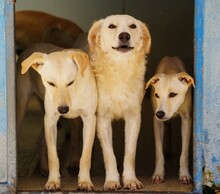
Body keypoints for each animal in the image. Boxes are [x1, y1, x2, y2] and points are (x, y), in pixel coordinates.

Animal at [19, 43, 97, 190]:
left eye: (71, 82)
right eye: (50, 83)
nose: (63, 109)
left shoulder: (89, 119)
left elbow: (86, 155)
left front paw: (85, 181)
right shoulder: (50, 120)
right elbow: (53, 156)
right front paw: (53, 181)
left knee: (46, 141)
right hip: (22, 109)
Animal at [87, 14, 151, 190]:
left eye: (133, 26)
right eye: (111, 26)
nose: (124, 36)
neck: (120, 70)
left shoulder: (134, 117)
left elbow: (130, 153)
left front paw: (130, 180)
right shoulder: (102, 119)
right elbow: (109, 154)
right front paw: (111, 181)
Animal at [146, 56, 194, 185]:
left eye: (173, 94)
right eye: (157, 95)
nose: (159, 114)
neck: (170, 71)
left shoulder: (187, 119)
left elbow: (184, 153)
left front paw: (184, 174)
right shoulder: (157, 122)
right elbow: (158, 152)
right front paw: (158, 174)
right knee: (168, 129)